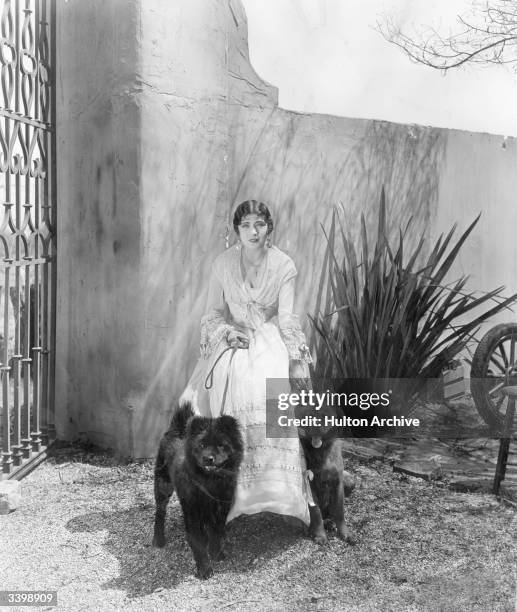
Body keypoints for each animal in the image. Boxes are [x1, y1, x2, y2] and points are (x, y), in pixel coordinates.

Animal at [152, 402, 243, 580]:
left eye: (221, 445)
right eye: (201, 445)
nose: (208, 458)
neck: (210, 482)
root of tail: (176, 429)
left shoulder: (221, 508)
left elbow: (216, 532)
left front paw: (216, 552)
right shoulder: (192, 512)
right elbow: (198, 542)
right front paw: (205, 569)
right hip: (163, 485)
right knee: (160, 512)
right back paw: (158, 539)